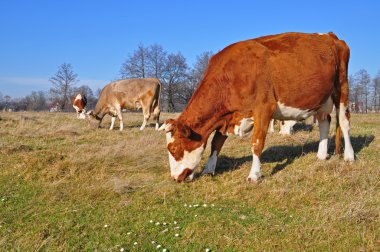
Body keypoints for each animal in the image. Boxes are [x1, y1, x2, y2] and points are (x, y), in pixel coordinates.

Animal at [159, 32, 354, 182]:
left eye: (173, 149)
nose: (175, 178)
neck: (231, 75)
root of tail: (329, 36)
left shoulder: (263, 109)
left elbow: (257, 143)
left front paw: (254, 175)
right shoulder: (226, 116)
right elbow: (216, 143)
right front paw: (209, 169)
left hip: (341, 88)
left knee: (344, 122)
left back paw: (349, 156)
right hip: (321, 98)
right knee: (324, 122)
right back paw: (321, 155)